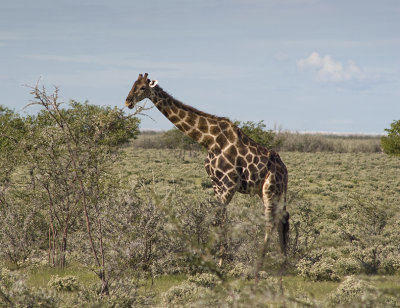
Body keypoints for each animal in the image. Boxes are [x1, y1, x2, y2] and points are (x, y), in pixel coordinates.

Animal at [123, 73, 290, 276]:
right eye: (132, 84)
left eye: (142, 88)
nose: (127, 101)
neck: (208, 140)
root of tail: (285, 171)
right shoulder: (216, 184)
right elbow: (218, 220)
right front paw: (216, 261)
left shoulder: (229, 183)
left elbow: (219, 220)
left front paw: (220, 263)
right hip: (269, 191)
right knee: (282, 218)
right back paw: (283, 263)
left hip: (270, 188)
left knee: (270, 222)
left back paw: (260, 266)